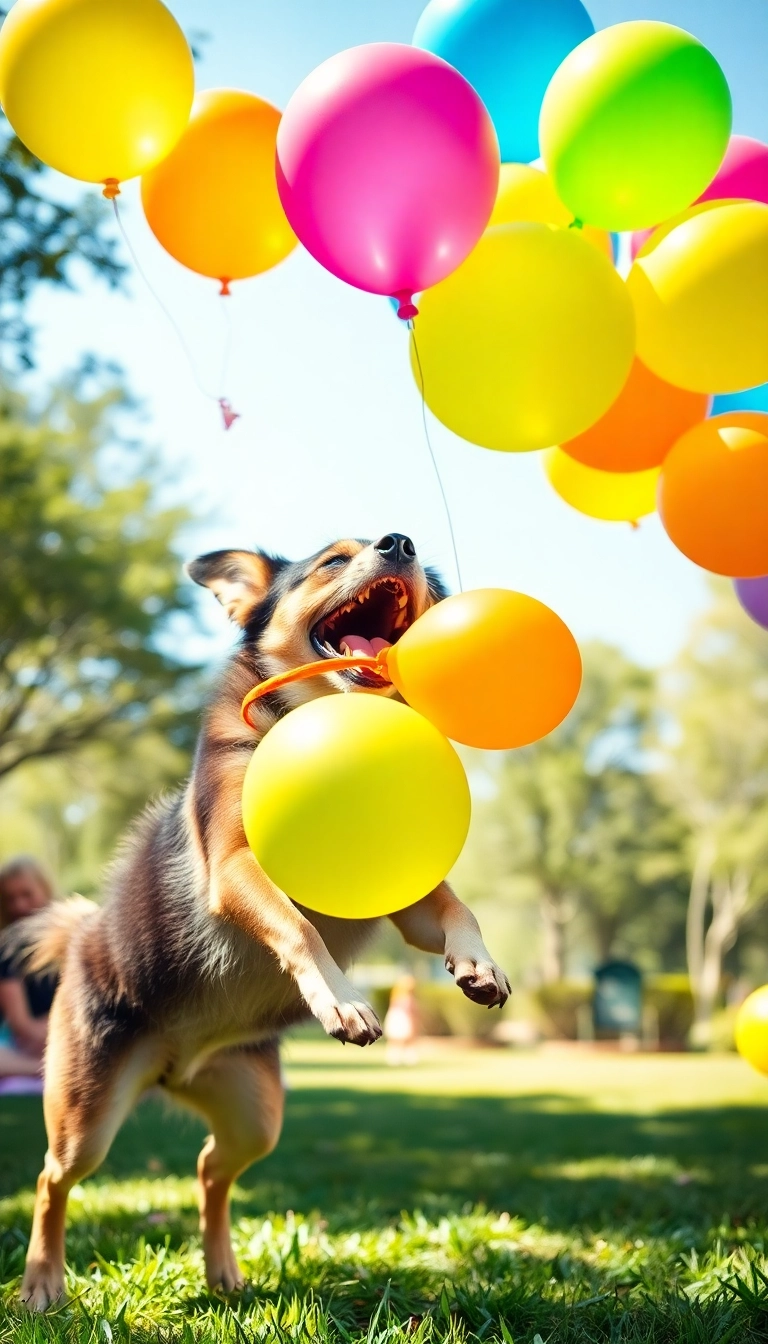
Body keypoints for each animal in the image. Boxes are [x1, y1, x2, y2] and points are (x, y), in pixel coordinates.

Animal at [8, 534, 511, 1311]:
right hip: (86, 1110)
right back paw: (42, 1280)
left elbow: (457, 906)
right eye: (333, 560)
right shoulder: (236, 866)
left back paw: (222, 1270)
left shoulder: (403, 892)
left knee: (210, 1168)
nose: (399, 542)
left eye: (421, 568)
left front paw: (478, 963)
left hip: (255, 1113)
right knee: (49, 1178)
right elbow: (297, 926)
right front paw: (342, 1002)